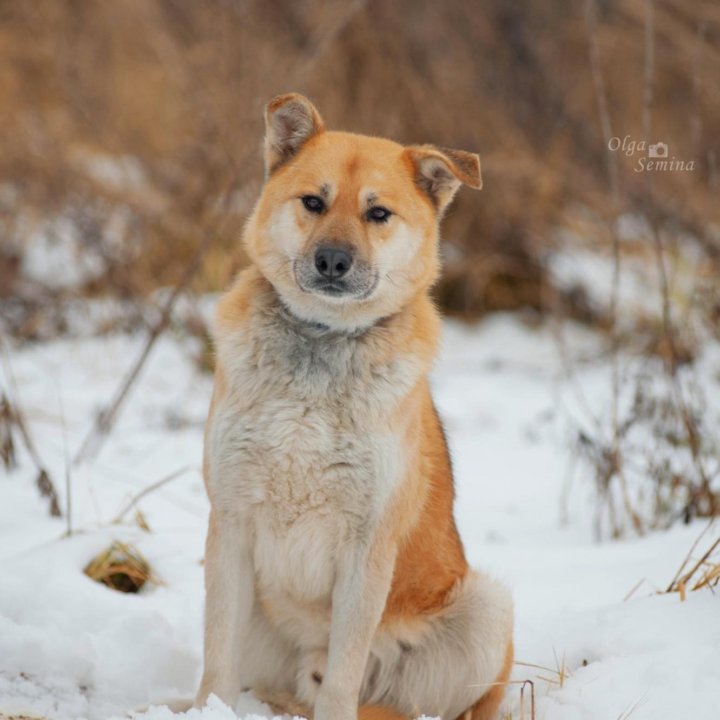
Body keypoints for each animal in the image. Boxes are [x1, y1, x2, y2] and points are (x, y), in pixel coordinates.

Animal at [197, 95, 512, 720]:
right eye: (313, 202)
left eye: (378, 213)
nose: (332, 261)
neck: (322, 342)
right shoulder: (231, 523)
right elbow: (217, 657)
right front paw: (206, 709)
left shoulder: (367, 548)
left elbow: (343, 675)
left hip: (488, 611)